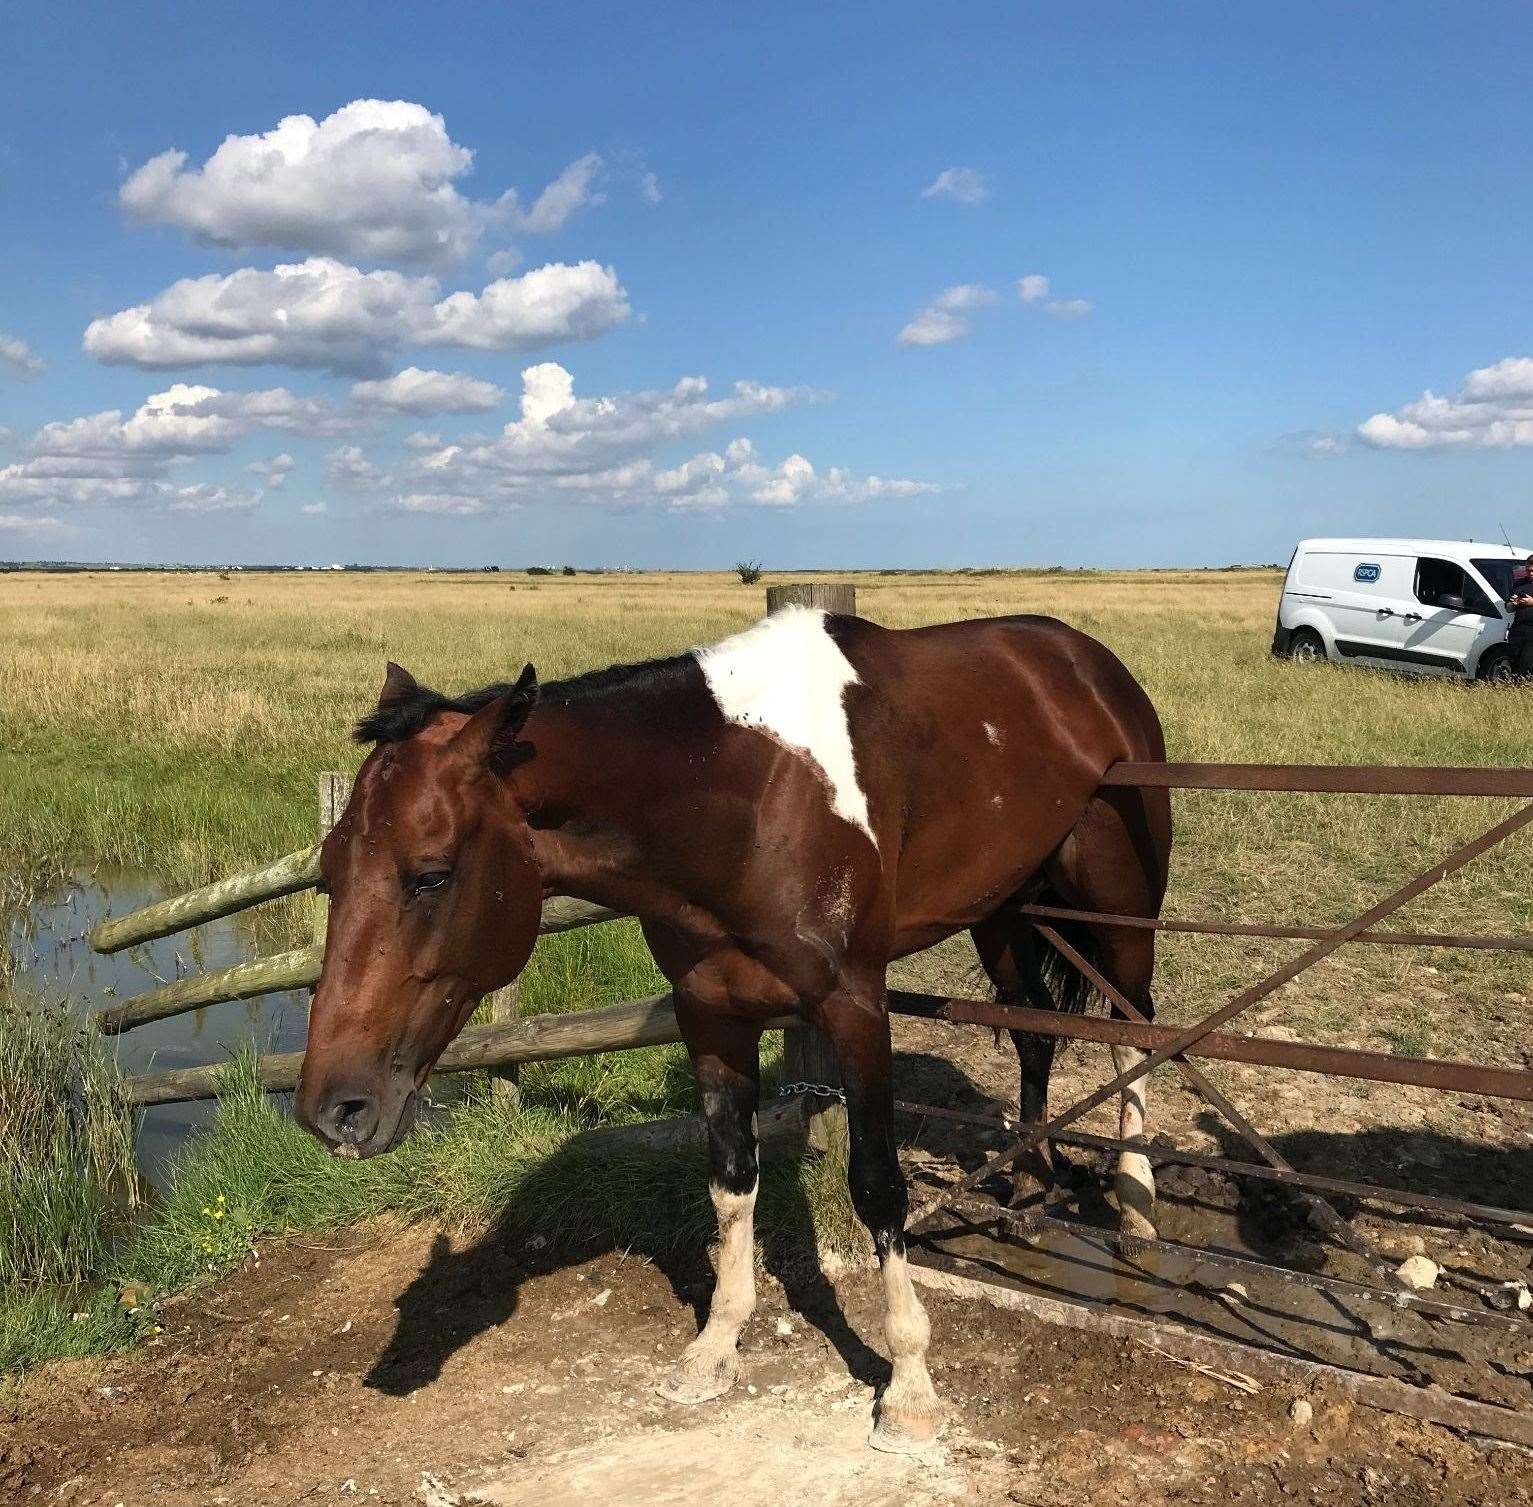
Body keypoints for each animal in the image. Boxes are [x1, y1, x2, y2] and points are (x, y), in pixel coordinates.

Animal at [292, 607, 1165, 1453]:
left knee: (1135, 1027)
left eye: (430, 874)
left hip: (1118, 904)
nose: (335, 1110)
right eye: (328, 873)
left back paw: (1134, 1205)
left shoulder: (855, 1007)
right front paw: (714, 1347)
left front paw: (910, 1390)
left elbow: (877, 1186)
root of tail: (1082, 658)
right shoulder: (709, 1012)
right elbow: (731, 1178)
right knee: (1033, 1031)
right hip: (1007, 909)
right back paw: (1034, 1182)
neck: (745, 797)